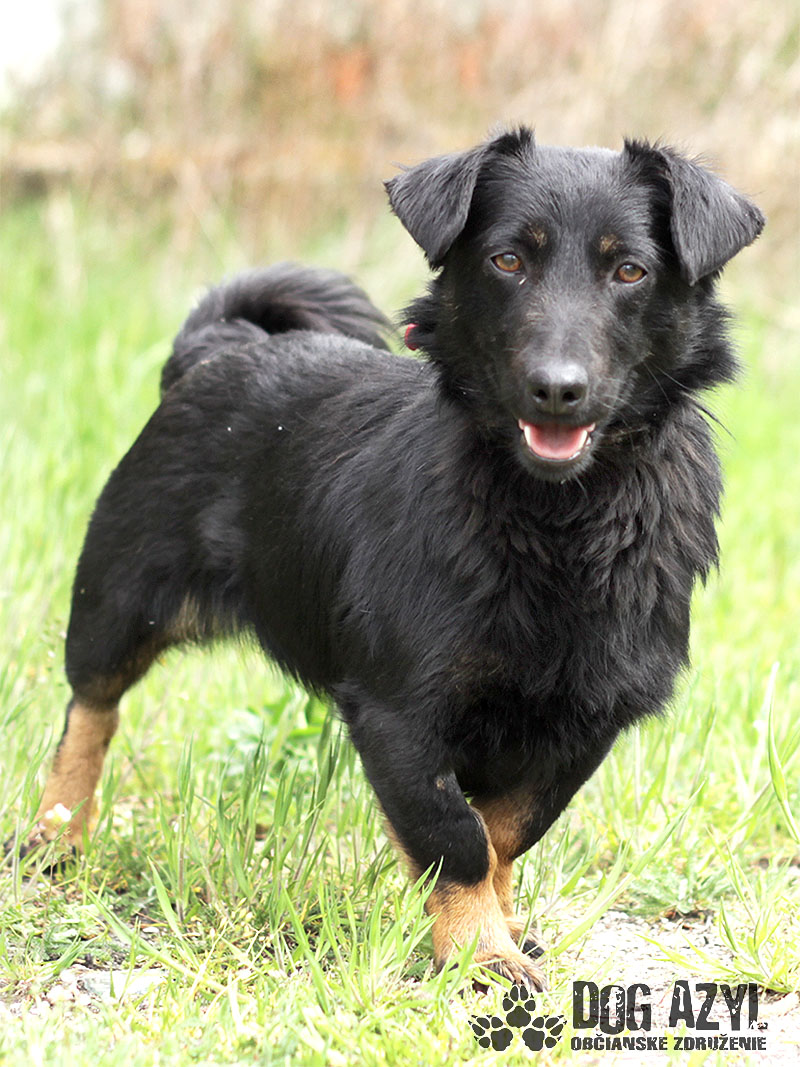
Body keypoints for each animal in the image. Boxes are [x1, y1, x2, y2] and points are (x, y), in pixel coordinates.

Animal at [28, 128, 763, 989]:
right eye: (507, 260)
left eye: (631, 271)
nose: (557, 389)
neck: (556, 517)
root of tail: (224, 345)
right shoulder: (398, 710)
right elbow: (455, 832)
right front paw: (480, 949)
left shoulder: (586, 718)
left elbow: (505, 829)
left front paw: (495, 923)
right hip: (118, 598)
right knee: (91, 709)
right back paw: (56, 831)